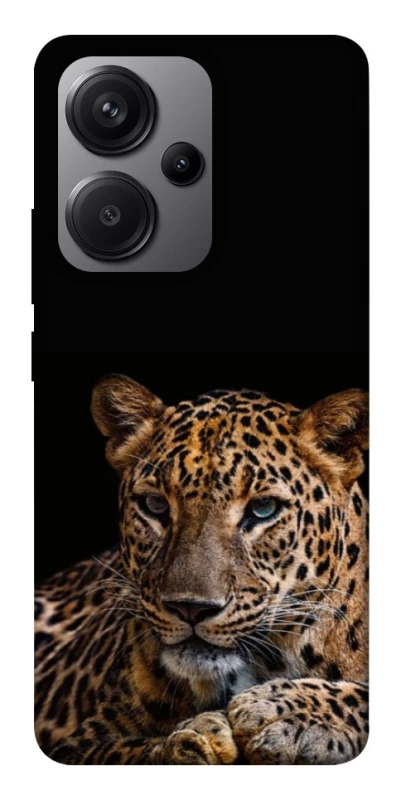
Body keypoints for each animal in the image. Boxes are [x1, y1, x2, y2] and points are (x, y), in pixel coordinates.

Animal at [35, 375, 369, 764]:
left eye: (263, 509)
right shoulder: (79, 743)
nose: (190, 608)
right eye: (155, 505)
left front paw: (283, 711)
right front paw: (195, 740)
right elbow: (129, 752)